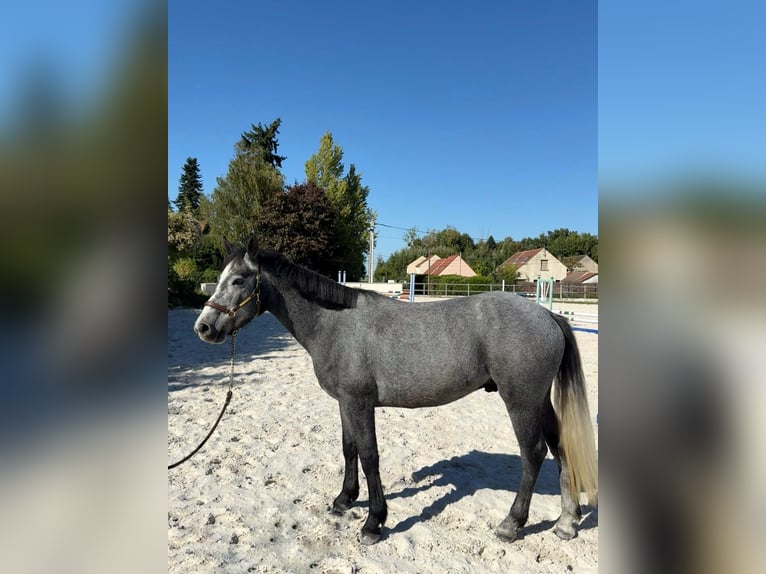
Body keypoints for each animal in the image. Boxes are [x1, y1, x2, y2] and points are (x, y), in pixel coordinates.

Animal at [193, 236, 598, 545]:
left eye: (239, 280)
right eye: (220, 278)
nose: (204, 327)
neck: (334, 322)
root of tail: (548, 315)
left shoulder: (360, 403)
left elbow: (370, 456)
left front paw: (373, 522)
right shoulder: (345, 403)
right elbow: (350, 449)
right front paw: (344, 499)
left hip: (521, 401)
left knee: (533, 454)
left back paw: (511, 524)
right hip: (540, 401)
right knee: (560, 449)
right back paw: (566, 523)